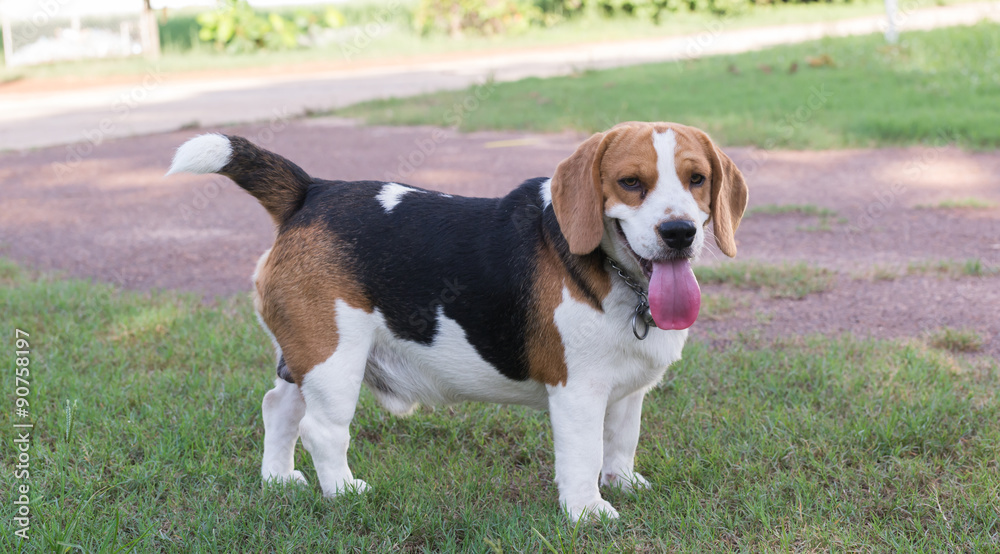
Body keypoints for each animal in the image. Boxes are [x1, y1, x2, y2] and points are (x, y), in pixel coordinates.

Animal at [168, 121, 748, 516]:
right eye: (630, 182)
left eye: (697, 179)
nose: (679, 232)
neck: (614, 272)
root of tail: (312, 190)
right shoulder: (578, 392)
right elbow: (583, 455)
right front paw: (588, 511)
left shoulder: (626, 392)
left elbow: (621, 442)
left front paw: (622, 483)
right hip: (334, 360)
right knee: (321, 429)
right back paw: (343, 492)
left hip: (304, 356)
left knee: (279, 408)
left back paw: (278, 479)